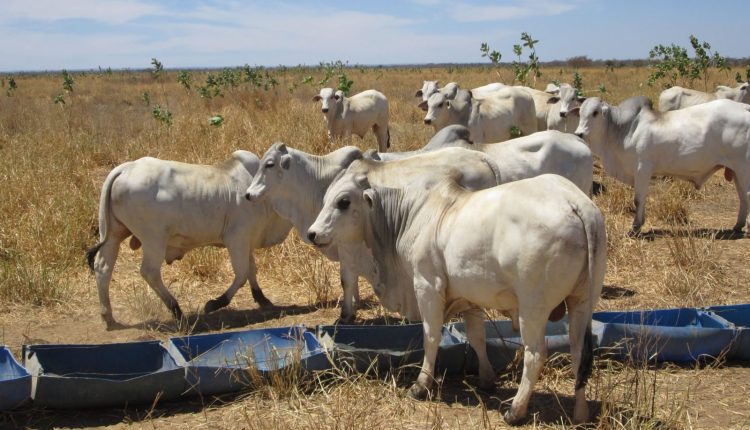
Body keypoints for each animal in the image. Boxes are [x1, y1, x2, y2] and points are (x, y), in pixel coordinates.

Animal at [88, 152, 294, 330]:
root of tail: (126, 168)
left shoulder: (247, 240)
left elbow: (251, 270)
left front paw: (262, 299)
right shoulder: (237, 238)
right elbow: (242, 274)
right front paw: (214, 303)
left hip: (114, 234)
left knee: (103, 267)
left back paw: (108, 317)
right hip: (154, 239)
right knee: (150, 272)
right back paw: (176, 310)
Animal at [308, 173, 608, 424]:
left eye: (343, 202)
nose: (312, 233)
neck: (411, 215)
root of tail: (575, 202)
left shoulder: (427, 286)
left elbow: (431, 336)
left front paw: (421, 385)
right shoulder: (469, 298)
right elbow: (476, 337)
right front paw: (486, 379)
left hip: (533, 308)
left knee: (535, 354)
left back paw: (515, 411)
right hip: (582, 302)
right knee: (579, 353)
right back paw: (580, 413)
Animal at [576, 96, 750, 235]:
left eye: (595, 112)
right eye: (580, 113)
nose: (579, 134)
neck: (623, 130)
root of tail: (745, 108)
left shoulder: (642, 169)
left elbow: (638, 200)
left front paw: (635, 228)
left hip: (743, 168)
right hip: (736, 171)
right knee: (743, 197)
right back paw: (738, 226)